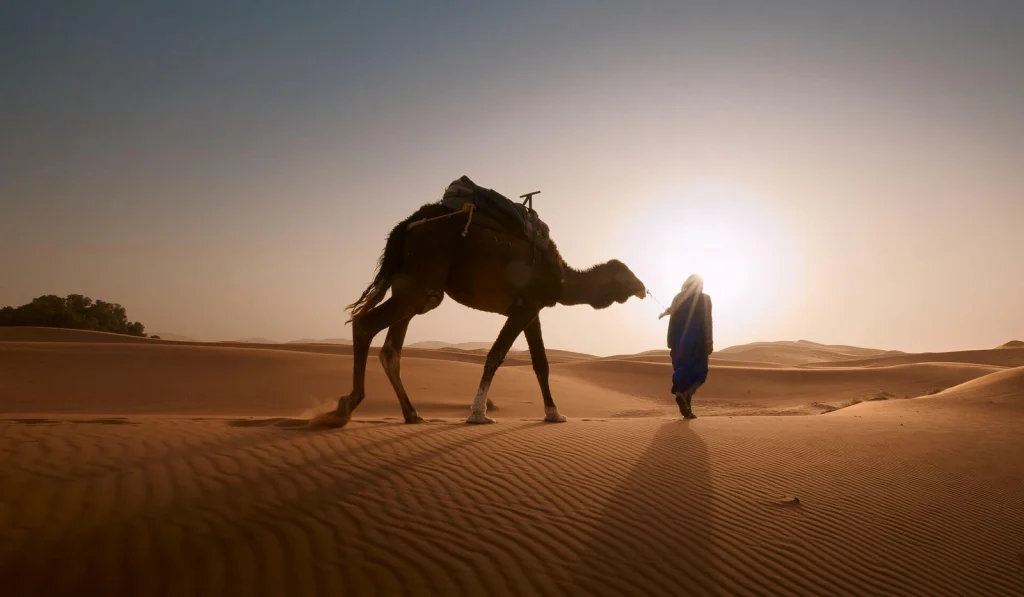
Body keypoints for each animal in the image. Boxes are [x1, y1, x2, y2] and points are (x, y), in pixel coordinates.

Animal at [327, 178, 647, 428]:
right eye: (626, 274)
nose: (643, 288)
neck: (561, 277)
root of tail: (406, 225)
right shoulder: (525, 306)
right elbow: (496, 355)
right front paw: (478, 414)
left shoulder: (531, 309)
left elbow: (541, 363)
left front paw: (554, 413)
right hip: (423, 280)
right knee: (365, 324)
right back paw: (346, 406)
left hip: (410, 284)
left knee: (391, 350)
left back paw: (412, 413)